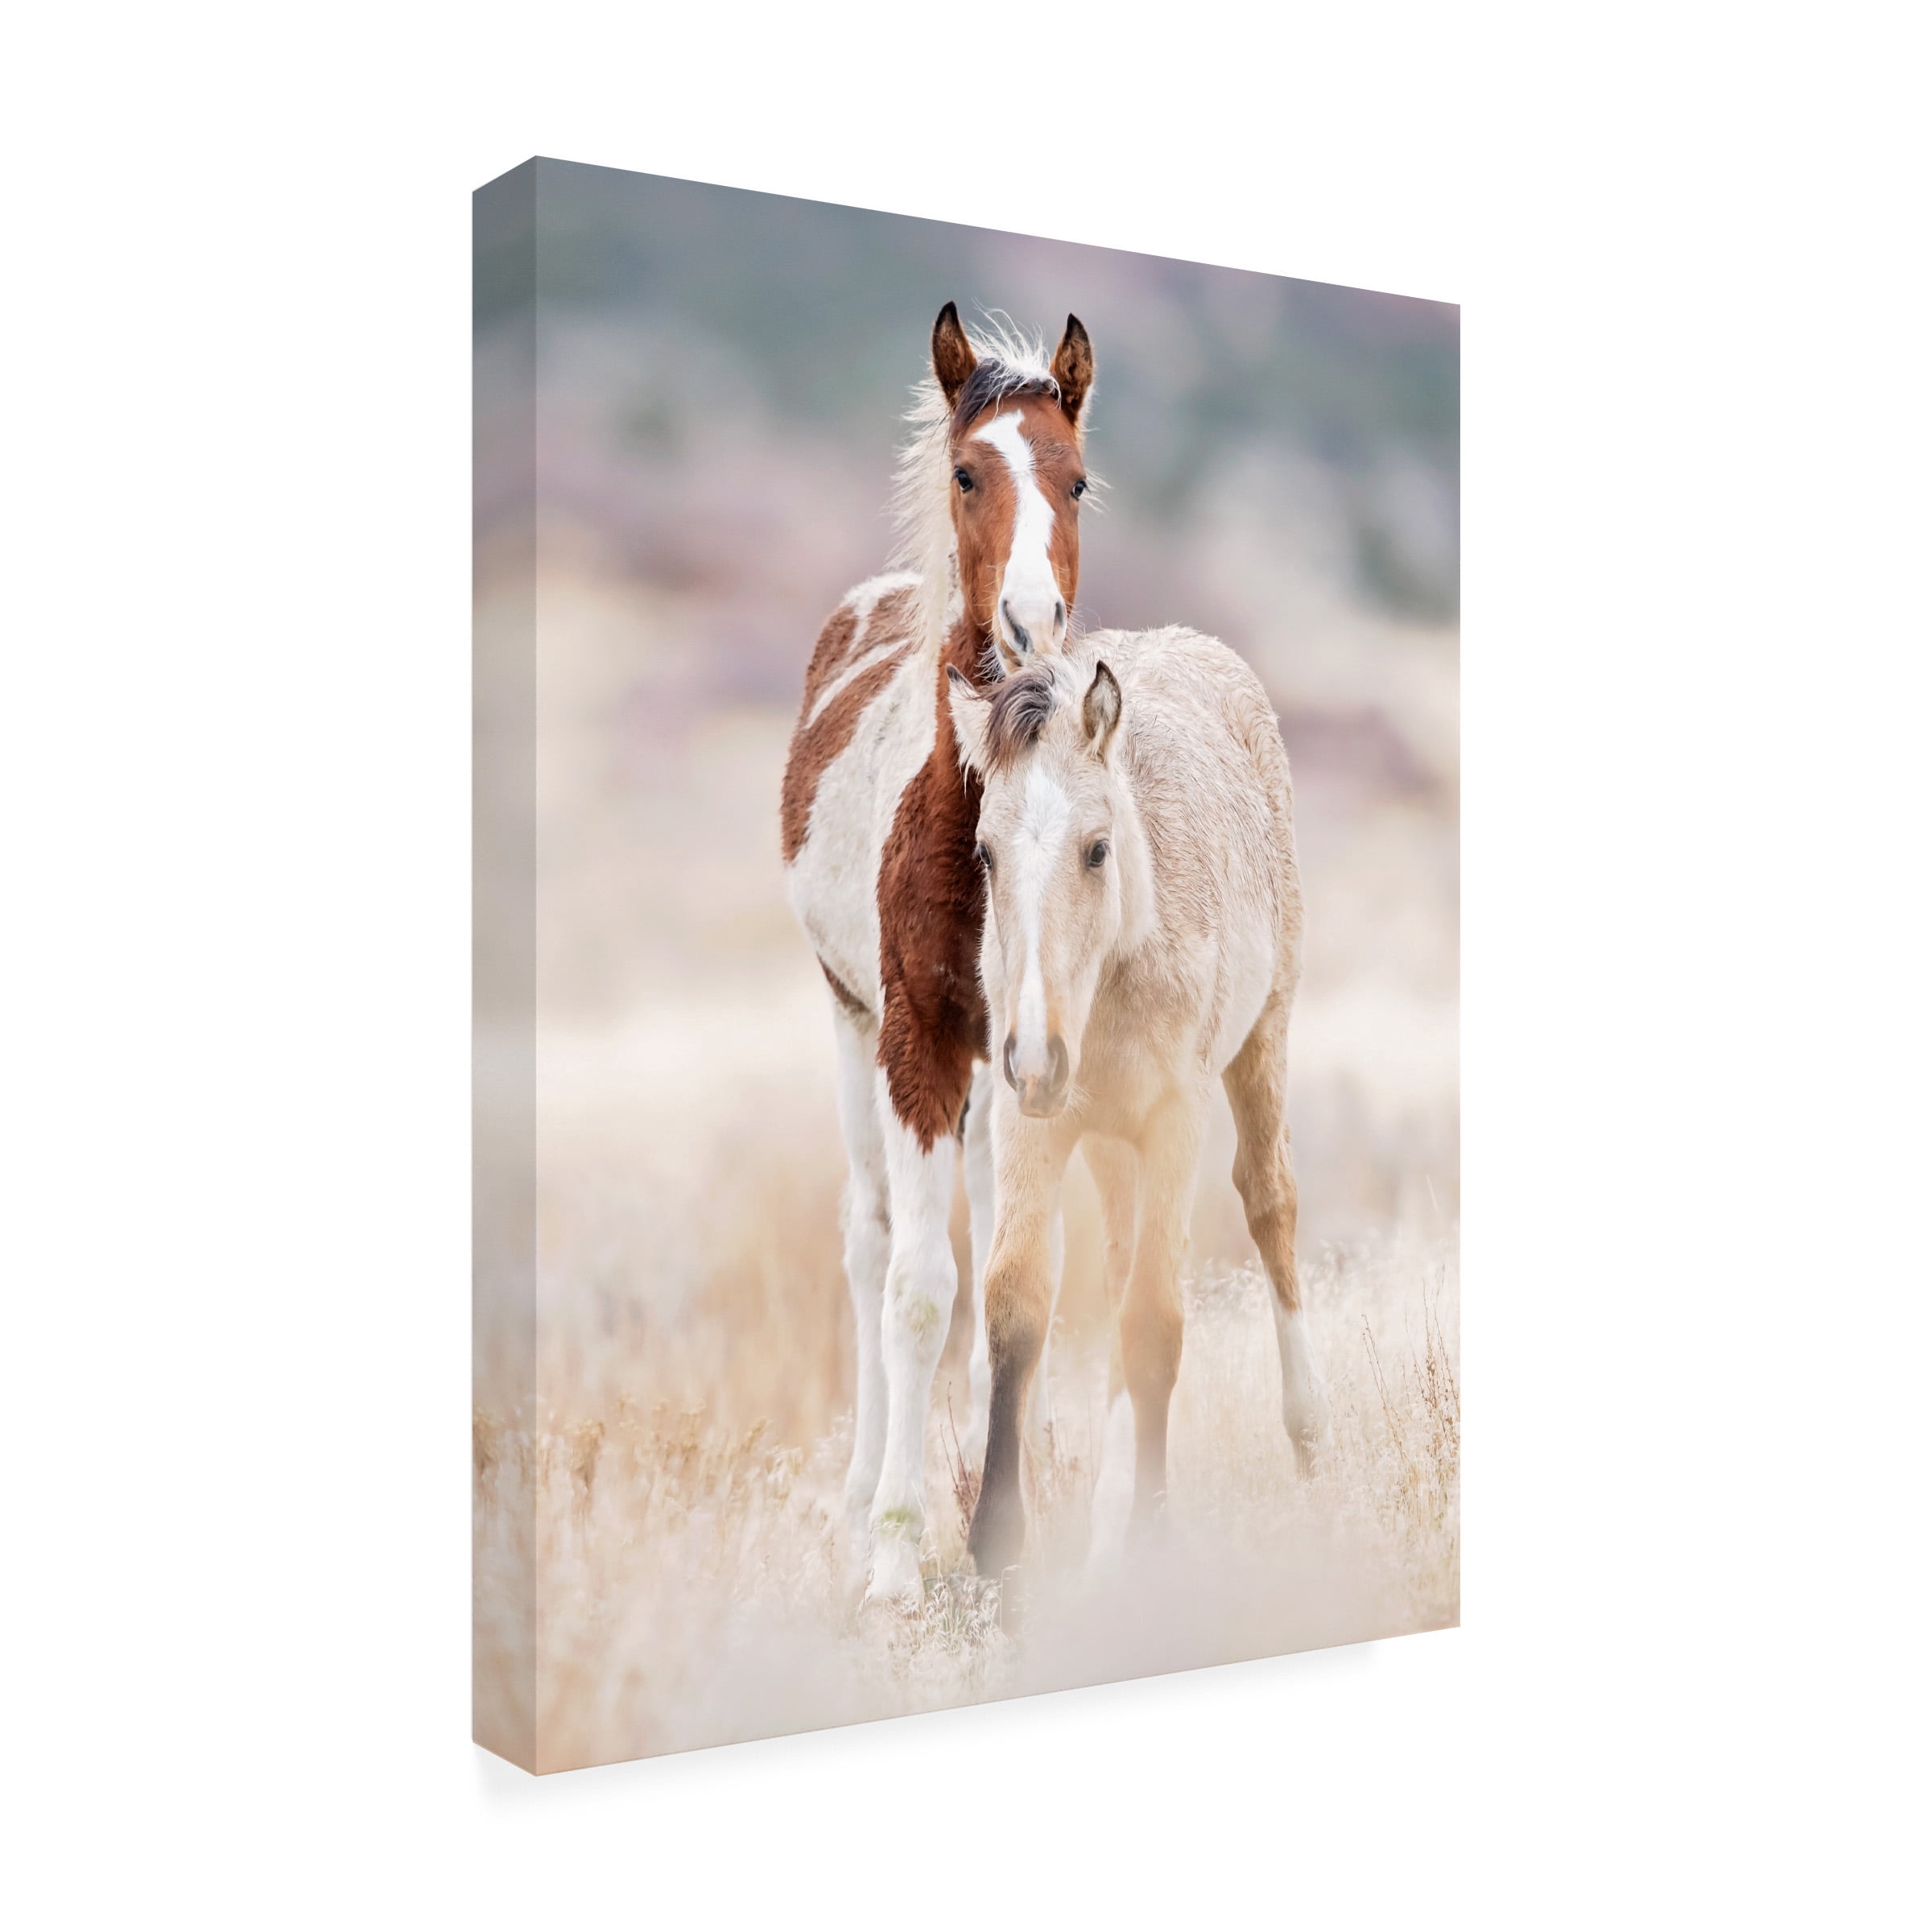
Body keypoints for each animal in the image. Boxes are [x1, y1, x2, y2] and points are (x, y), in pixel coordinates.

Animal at [945, 628, 1330, 1582]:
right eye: (986, 854)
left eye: (1096, 848)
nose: (1036, 1057)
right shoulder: (1029, 1123)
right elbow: (1017, 1302)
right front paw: (997, 1551)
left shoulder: (1174, 1121)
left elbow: (1156, 1322)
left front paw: (1153, 1541)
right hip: (1107, 1144)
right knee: (1118, 1268)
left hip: (1263, 1039)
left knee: (1271, 1204)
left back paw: (1310, 1434)